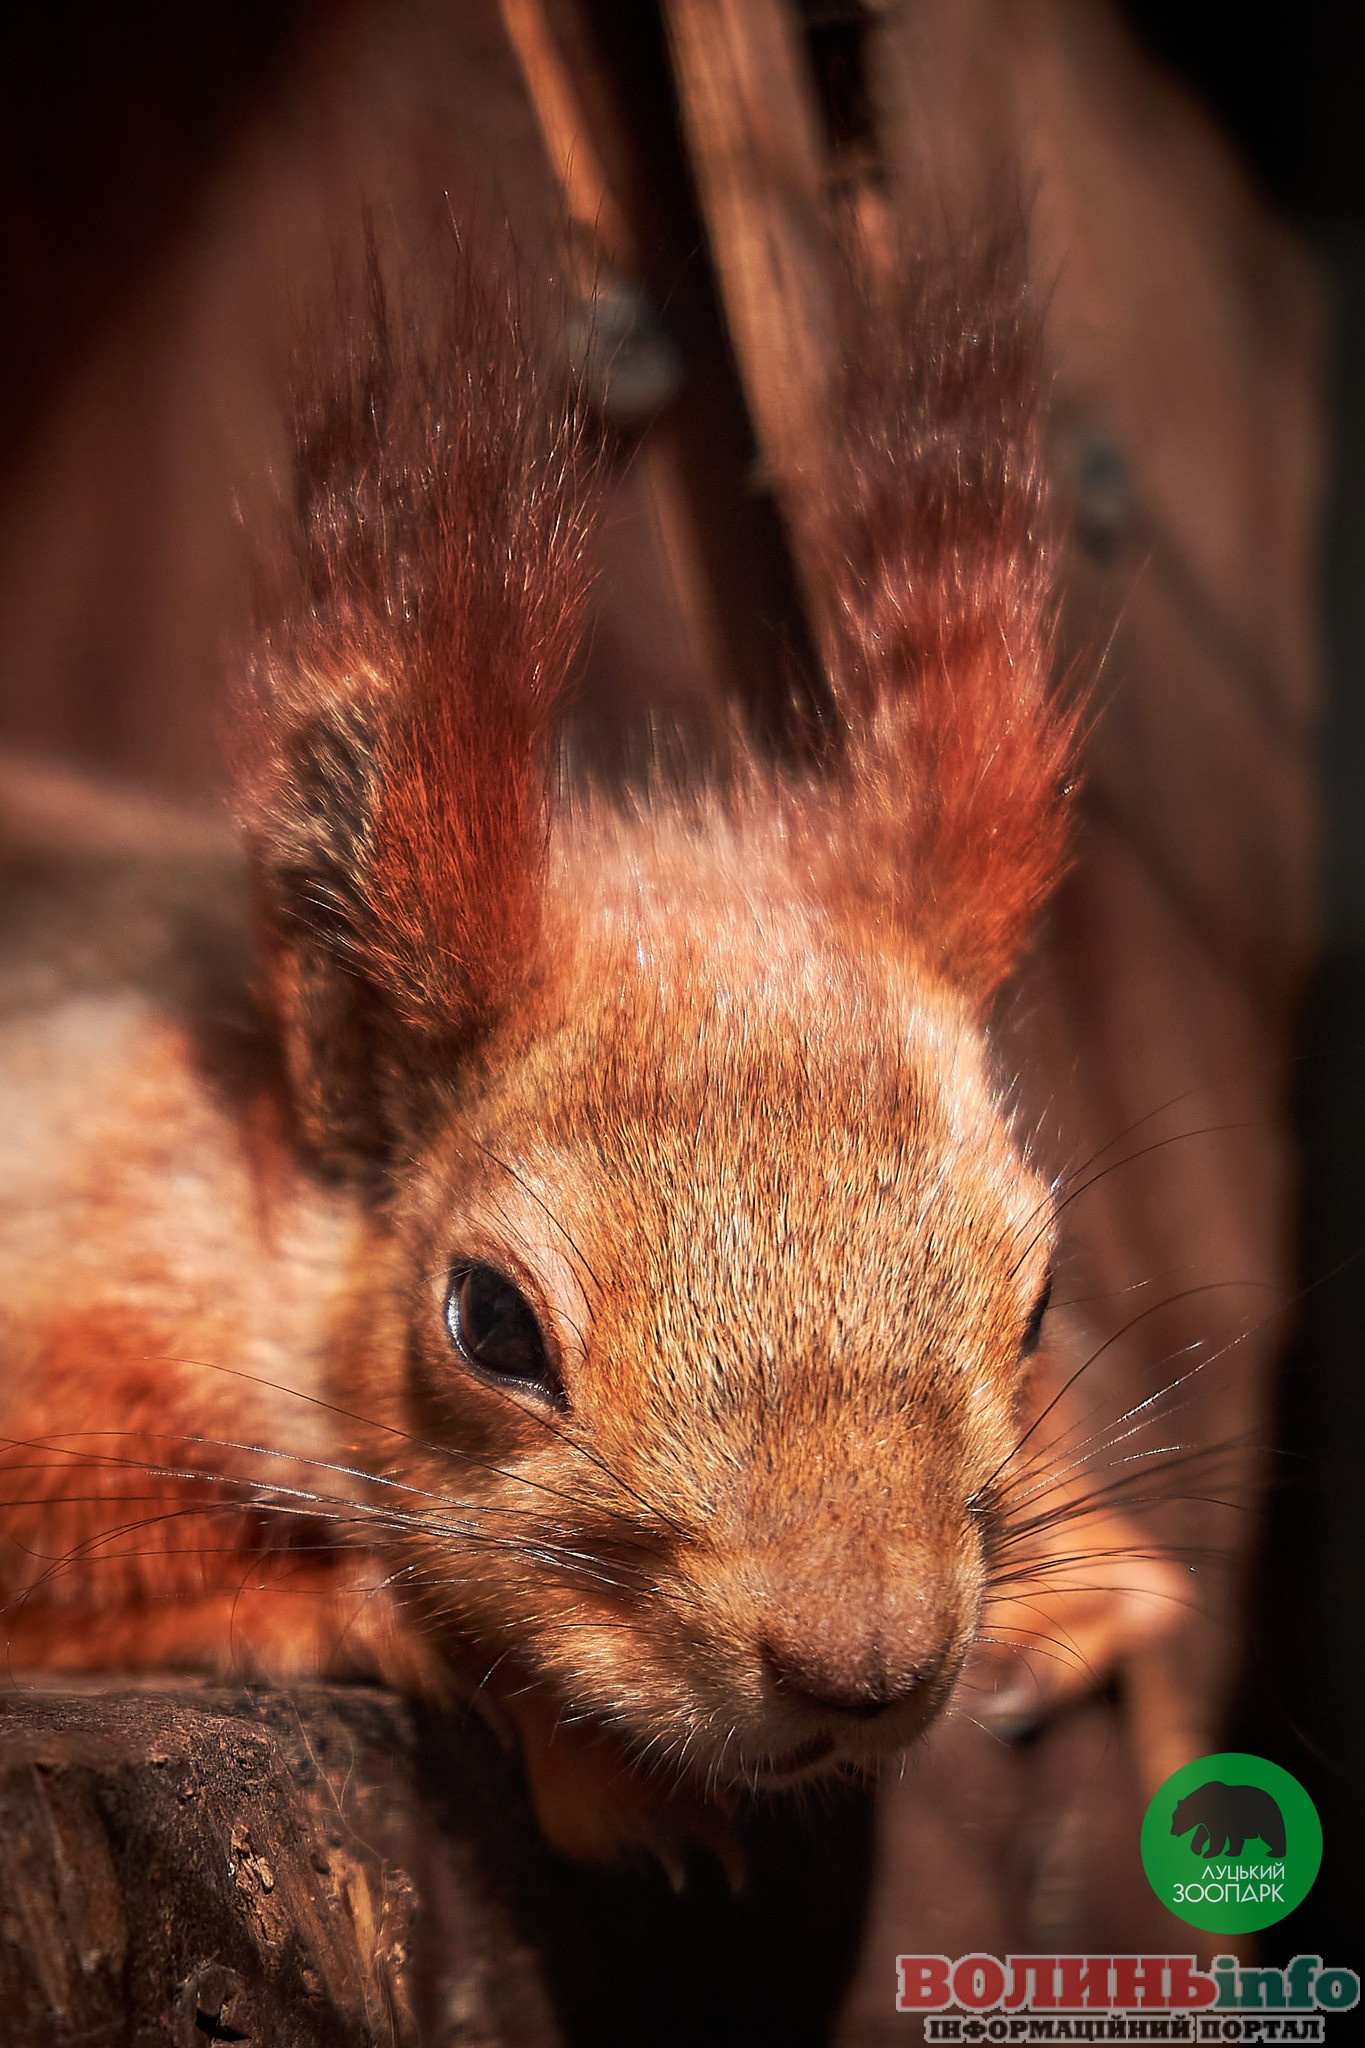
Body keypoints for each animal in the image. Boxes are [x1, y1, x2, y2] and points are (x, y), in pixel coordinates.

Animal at [0, 224, 1182, 1868]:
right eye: (488, 1322)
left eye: (1041, 1299)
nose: (866, 1668)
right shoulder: (76, 1275)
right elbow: (80, 1549)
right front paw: (554, 1731)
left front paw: (1085, 1587)